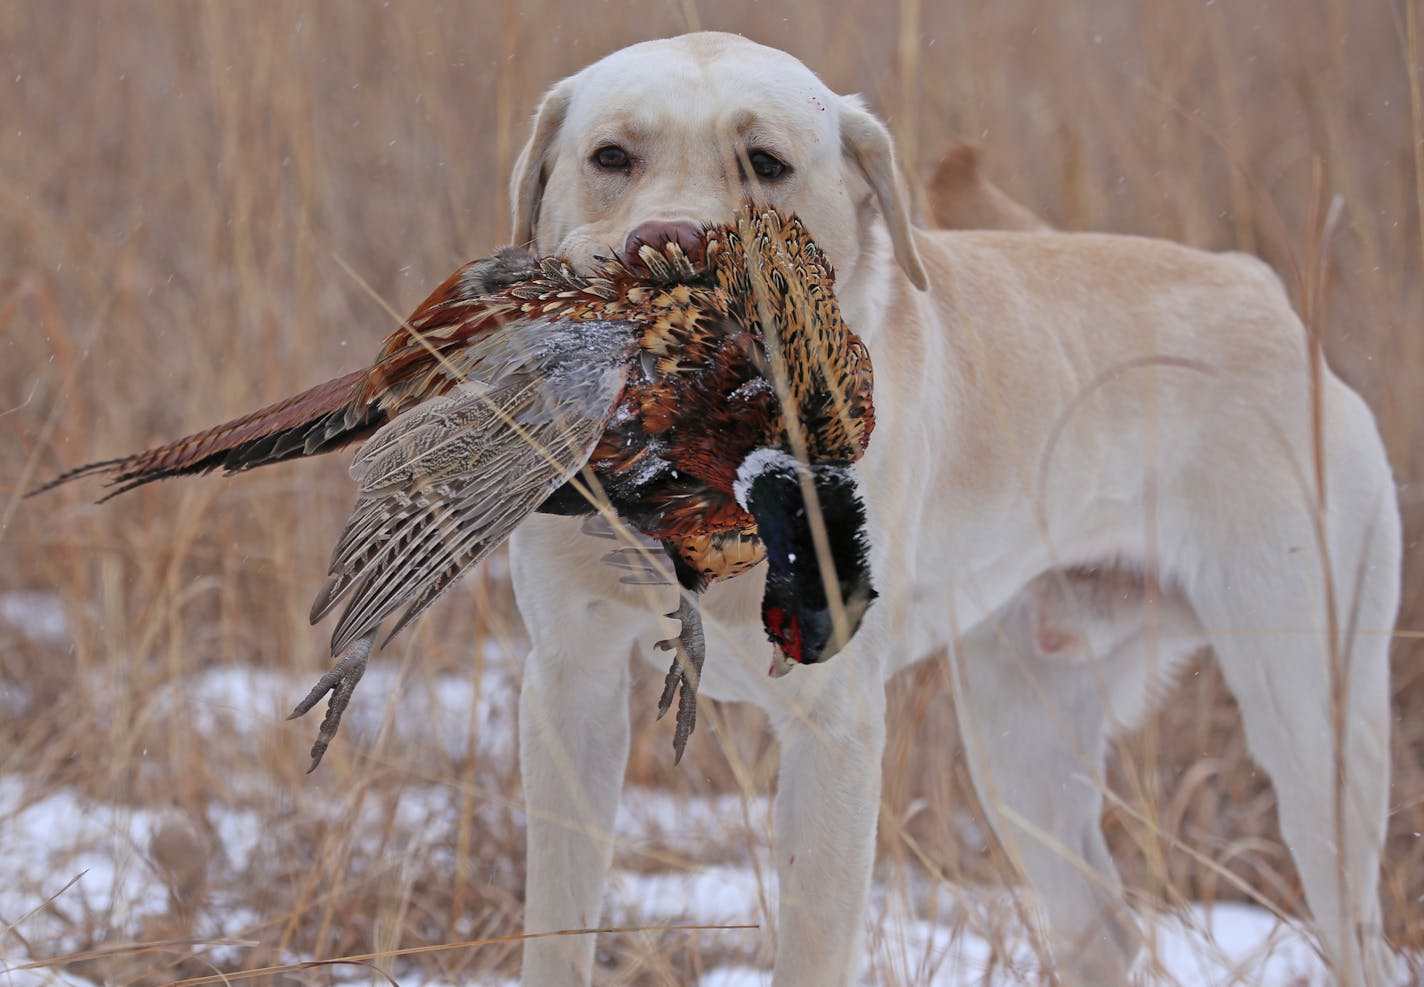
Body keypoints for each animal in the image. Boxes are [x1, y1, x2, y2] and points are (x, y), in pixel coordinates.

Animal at [506, 30, 1395, 985]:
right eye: (611, 157)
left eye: (766, 164)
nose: (665, 241)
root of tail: (1258, 287)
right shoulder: (569, 686)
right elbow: (556, 926)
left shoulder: (836, 727)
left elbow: (814, 944)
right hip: (1022, 741)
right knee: (1106, 927)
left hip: (1313, 732)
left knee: (1357, 933)